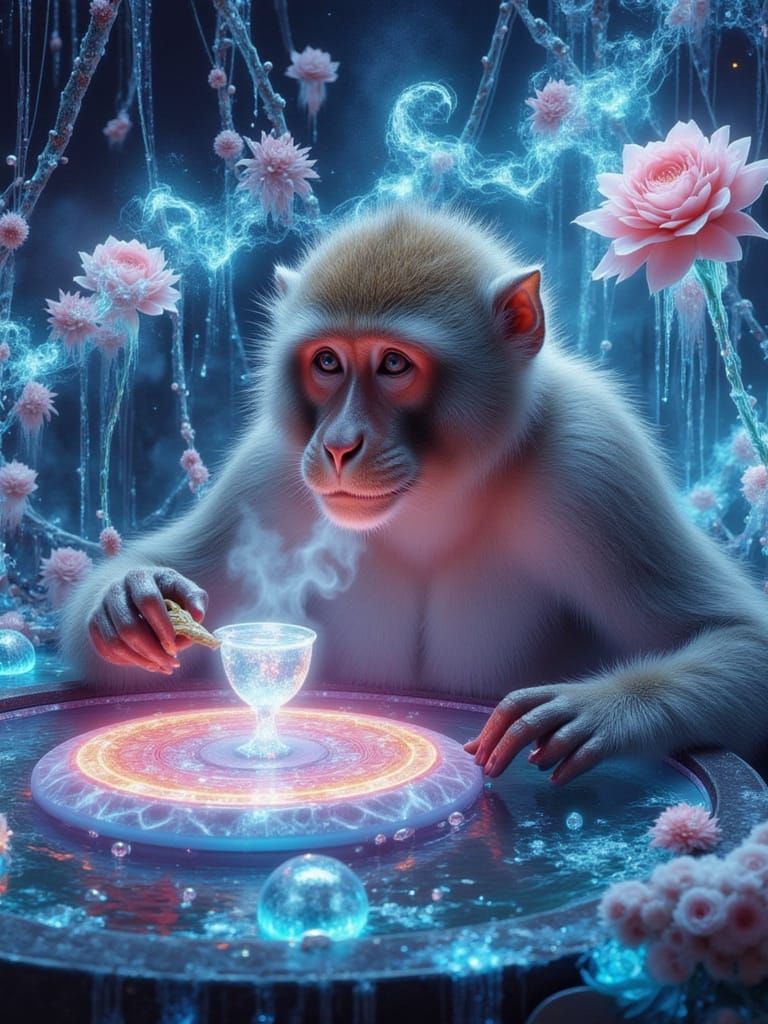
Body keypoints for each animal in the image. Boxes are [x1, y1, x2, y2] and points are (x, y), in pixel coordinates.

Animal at [61, 204, 768, 785]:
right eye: (327, 362)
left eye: (395, 364)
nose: (338, 446)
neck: (437, 497)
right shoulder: (268, 476)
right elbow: (104, 660)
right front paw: (133, 602)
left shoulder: (592, 460)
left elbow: (740, 636)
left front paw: (596, 709)